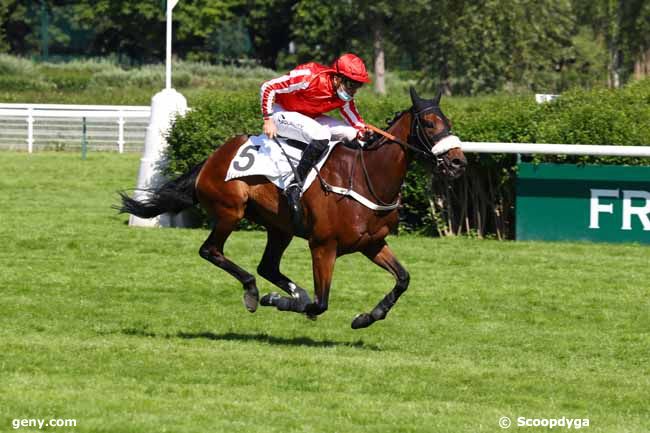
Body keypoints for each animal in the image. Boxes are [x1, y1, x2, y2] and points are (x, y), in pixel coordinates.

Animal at [115, 87, 460, 328]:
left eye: (448, 122)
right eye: (429, 123)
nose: (458, 161)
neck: (366, 176)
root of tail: (213, 157)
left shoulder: (372, 243)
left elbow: (403, 279)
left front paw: (366, 317)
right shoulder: (323, 246)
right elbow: (320, 303)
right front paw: (280, 300)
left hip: (280, 227)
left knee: (267, 266)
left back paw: (290, 291)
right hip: (231, 211)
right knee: (211, 251)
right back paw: (256, 293)